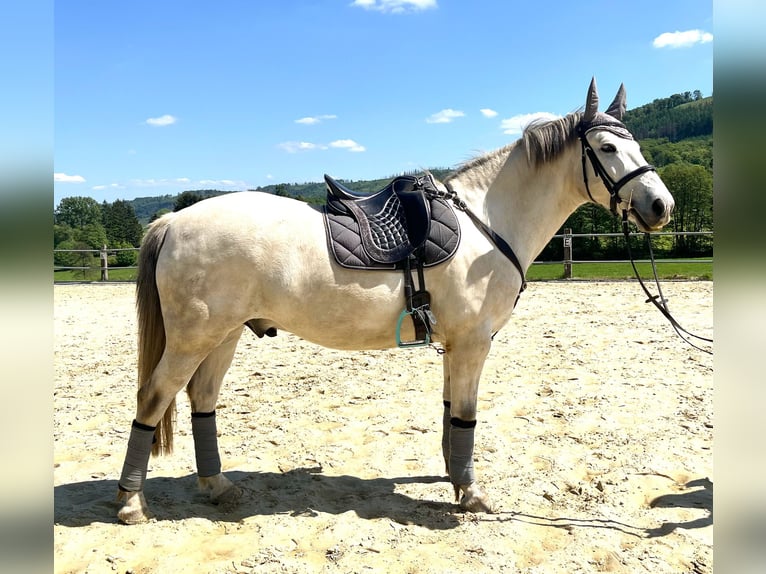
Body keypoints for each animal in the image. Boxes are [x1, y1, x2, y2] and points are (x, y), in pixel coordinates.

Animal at [116, 79, 674, 524]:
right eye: (606, 147)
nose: (660, 206)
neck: (485, 223)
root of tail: (174, 220)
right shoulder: (473, 343)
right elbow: (466, 415)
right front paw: (471, 494)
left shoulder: (456, 345)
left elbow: (451, 412)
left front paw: (453, 477)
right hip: (194, 338)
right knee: (153, 398)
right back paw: (131, 504)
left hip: (225, 335)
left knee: (202, 400)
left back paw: (217, 486)